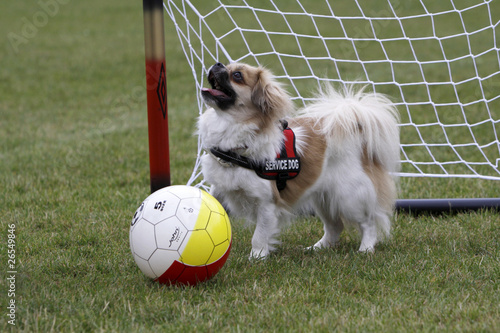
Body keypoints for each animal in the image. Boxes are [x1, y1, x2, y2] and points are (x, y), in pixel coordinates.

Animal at [197, 62, 400, 260]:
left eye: (237, 75)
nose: (217, 64)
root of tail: (355, 128)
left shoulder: (267, 203)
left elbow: (259, 235)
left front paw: (256, 258)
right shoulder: (219, 190)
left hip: (350, 197)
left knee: (368, 222)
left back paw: (366, 249)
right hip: (324, 198)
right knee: (335, 227)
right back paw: (316, 248)